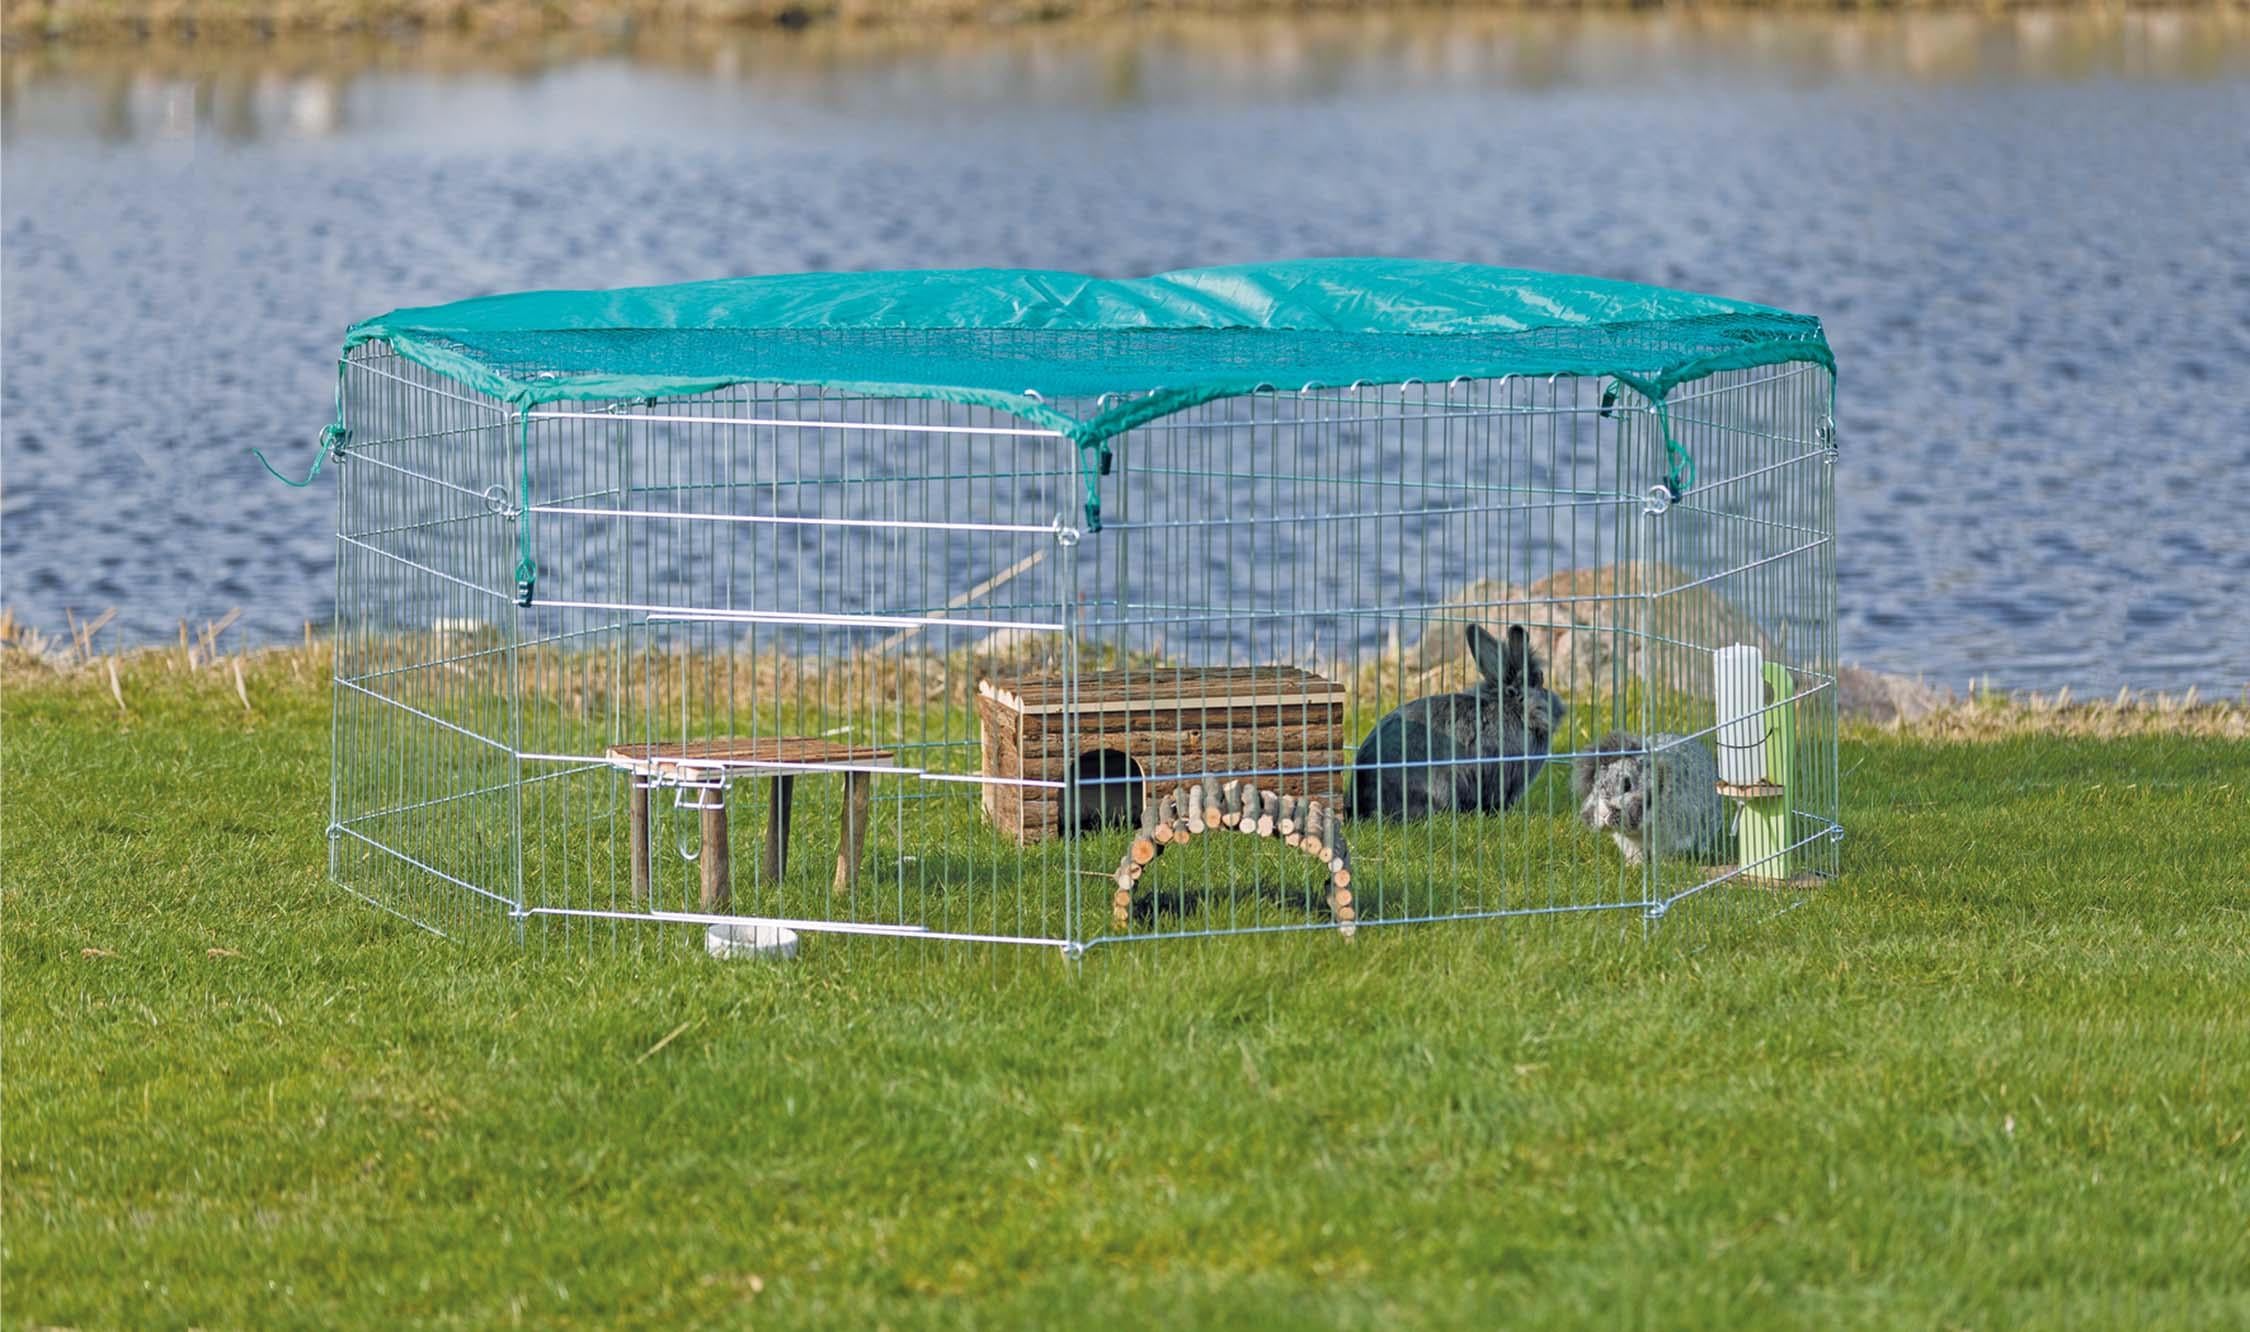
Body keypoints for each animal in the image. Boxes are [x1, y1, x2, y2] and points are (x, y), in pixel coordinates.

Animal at [1575, 733, 1728, 868]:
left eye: (1627, 785)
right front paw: (1634, 867)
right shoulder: (1629, 843)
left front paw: (1663, 866)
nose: (1602, 813)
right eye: (1595, 784)